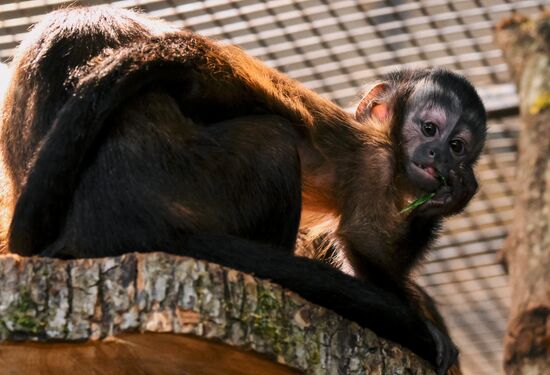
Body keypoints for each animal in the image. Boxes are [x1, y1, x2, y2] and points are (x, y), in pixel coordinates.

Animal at [0, 5, 488, 374]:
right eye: (429, 128)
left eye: (458, 146)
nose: (439, 156)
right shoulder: (376, 165)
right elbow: (364, 242)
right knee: (273, 140)